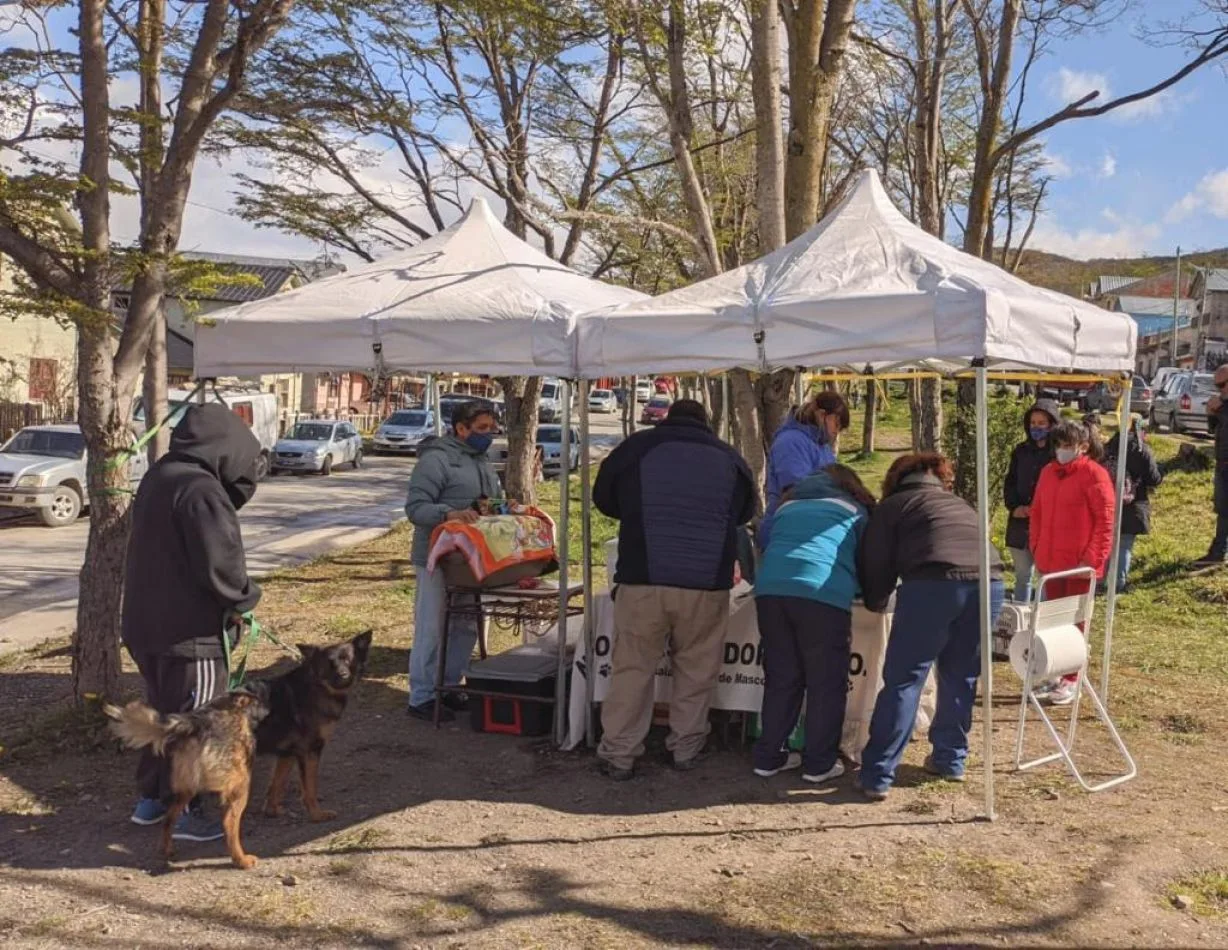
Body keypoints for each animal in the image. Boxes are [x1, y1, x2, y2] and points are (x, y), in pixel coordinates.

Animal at [105, 682, 271, 868]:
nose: (267, 709)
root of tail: (195, 722)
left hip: (186, 789)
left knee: (168, 819)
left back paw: (166, 850)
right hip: (241, 783)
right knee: (229, 823)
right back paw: (241, 860)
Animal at [256, 633, 370, 824]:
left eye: (348, 660)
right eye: (330, 664)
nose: (343, 674)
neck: (317, 687)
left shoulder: (287, 754)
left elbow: (277, 784)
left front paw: (272, 810)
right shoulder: (308, 752)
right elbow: (310, 788)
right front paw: (317, 815)